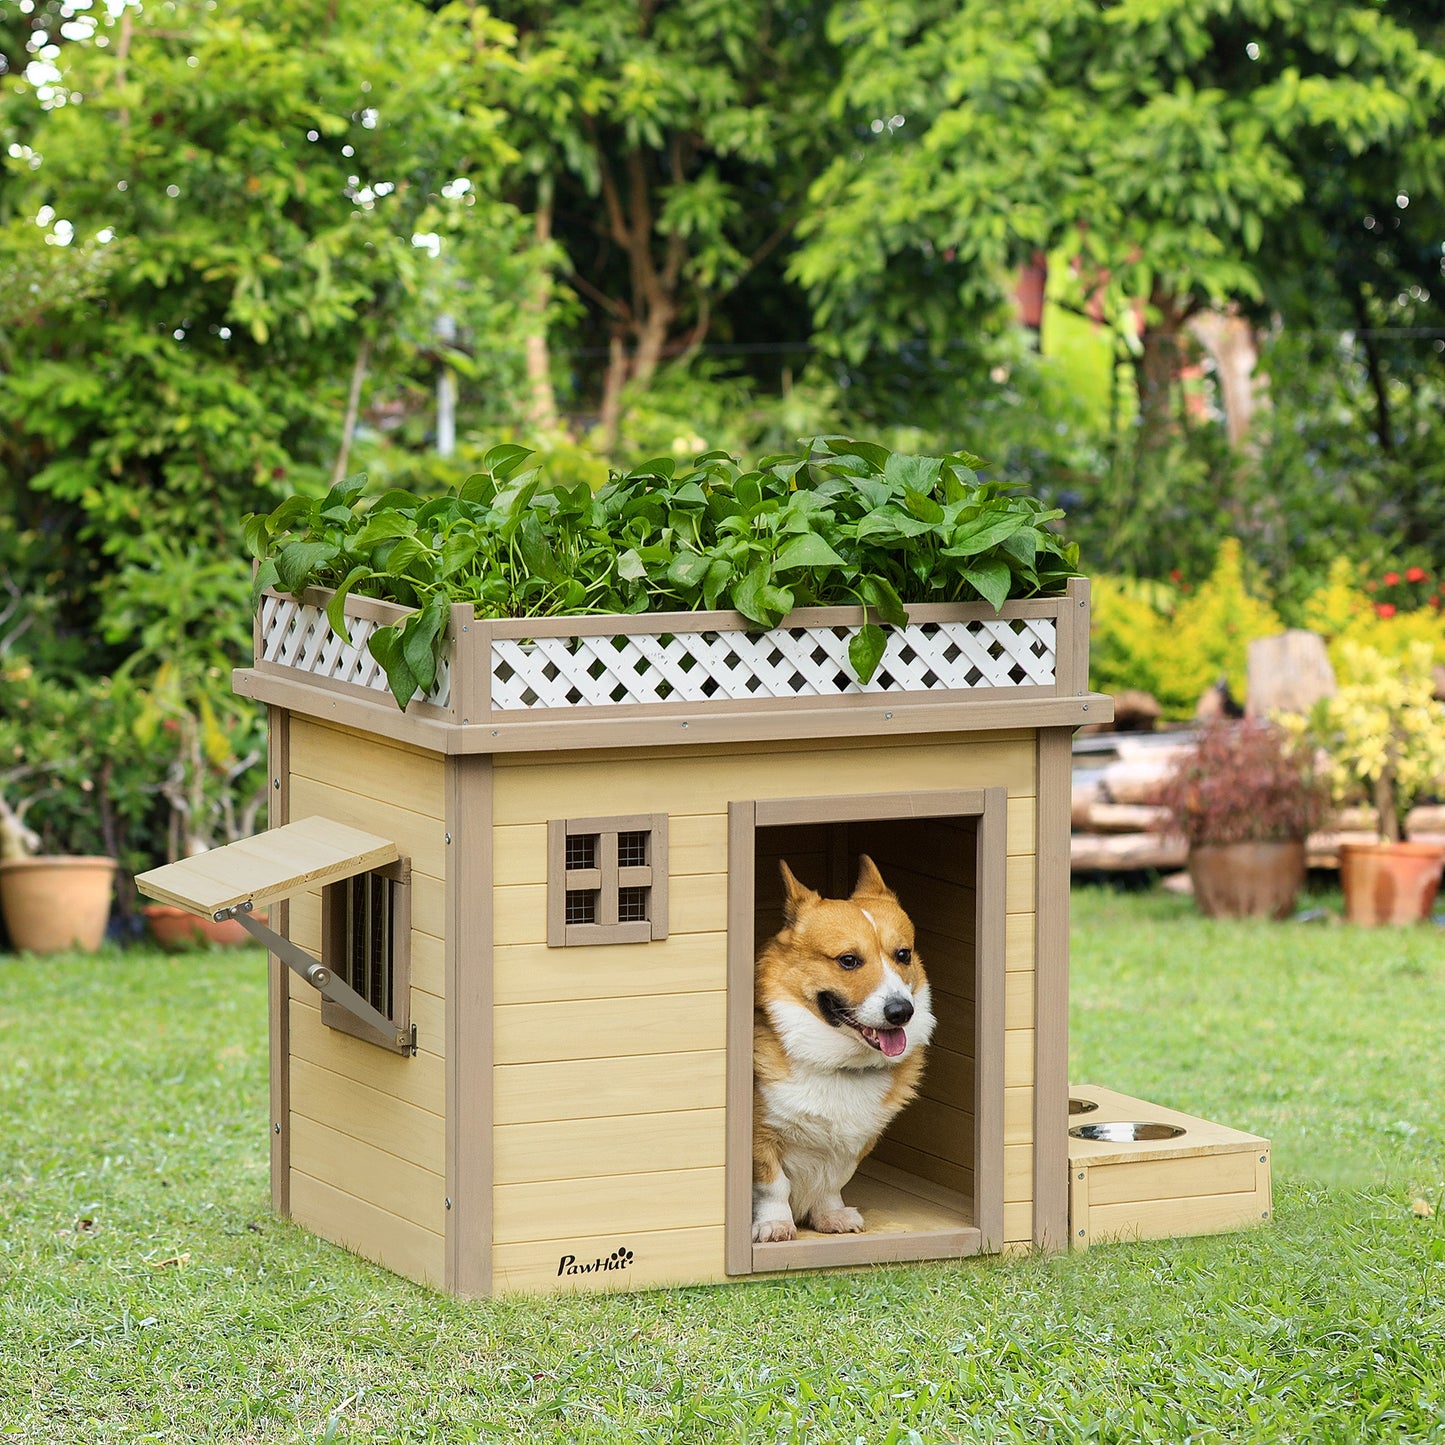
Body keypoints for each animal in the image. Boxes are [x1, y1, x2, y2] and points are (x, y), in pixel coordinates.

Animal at [751, 855, 930, 1242]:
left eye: (903, 954)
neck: (835, 1063)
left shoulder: (857, 1141)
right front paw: (775, 1225)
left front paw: (830, 1215)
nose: (901, 1011)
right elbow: (774, 1184)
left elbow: (833, 1180)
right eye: (848, 960)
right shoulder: (762, 1135)